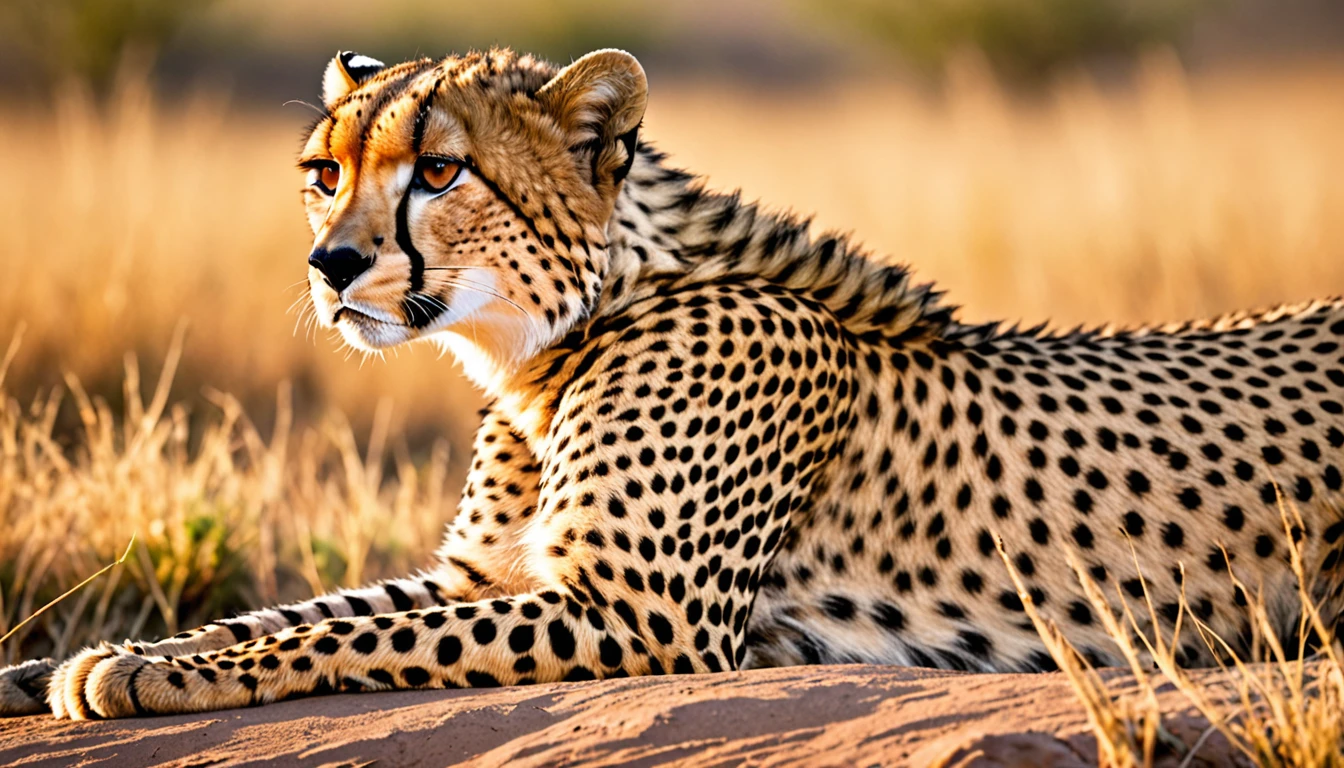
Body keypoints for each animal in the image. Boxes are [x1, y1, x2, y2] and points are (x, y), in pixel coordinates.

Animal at [3, 47, 1343, 720]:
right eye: (323, 173)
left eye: (439, 171)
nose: (332, 266)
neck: (549, 344)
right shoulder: (486, 573)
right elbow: (301, 612)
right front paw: (67, 661)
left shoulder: (646, 615)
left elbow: (348, 637)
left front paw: (147, 672)